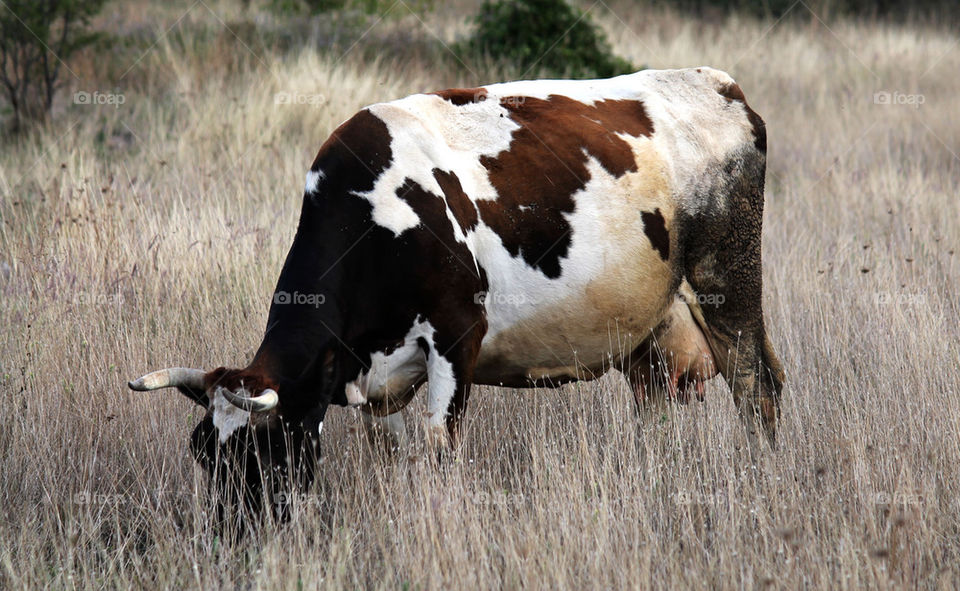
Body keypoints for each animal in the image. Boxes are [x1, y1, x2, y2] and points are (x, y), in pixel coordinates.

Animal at [129, 67, 785, 515]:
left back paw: (764, 476)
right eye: (203, 453)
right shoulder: (374, 381)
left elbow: (439, 447)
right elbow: (394, 452)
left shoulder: (456, 339)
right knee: (654, 405)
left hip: (728, 282)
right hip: (650, 333)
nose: (231, 532)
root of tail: (716, 83)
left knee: (756, 385)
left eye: (265, 449)